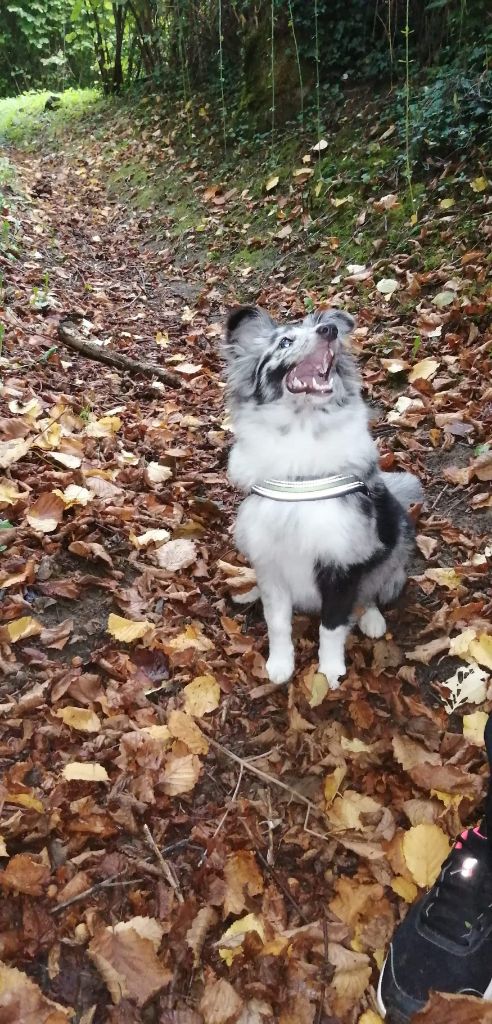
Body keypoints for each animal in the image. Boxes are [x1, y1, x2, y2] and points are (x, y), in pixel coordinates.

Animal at [223, 303, 422, 688]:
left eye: (329, 330)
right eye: (285, 341)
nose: (329, 330)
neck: (302, 433)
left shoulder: (343, 562)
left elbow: (331, 626)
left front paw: (330, 672)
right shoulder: (271, 563)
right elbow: (277, 623)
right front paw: (279, 665)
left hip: (397, 540)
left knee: (373, 591)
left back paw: (372, 618)